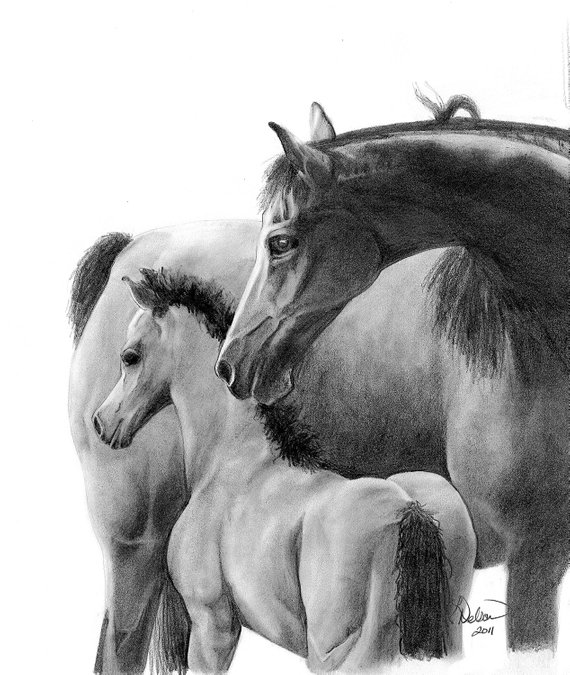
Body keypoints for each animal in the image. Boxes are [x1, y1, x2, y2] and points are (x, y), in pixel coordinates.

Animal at [92, 266, 476, 672]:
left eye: (130, 356)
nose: (102, 423)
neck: (233, 461)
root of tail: (412, 510)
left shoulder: (212, 624)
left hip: (342, 655)